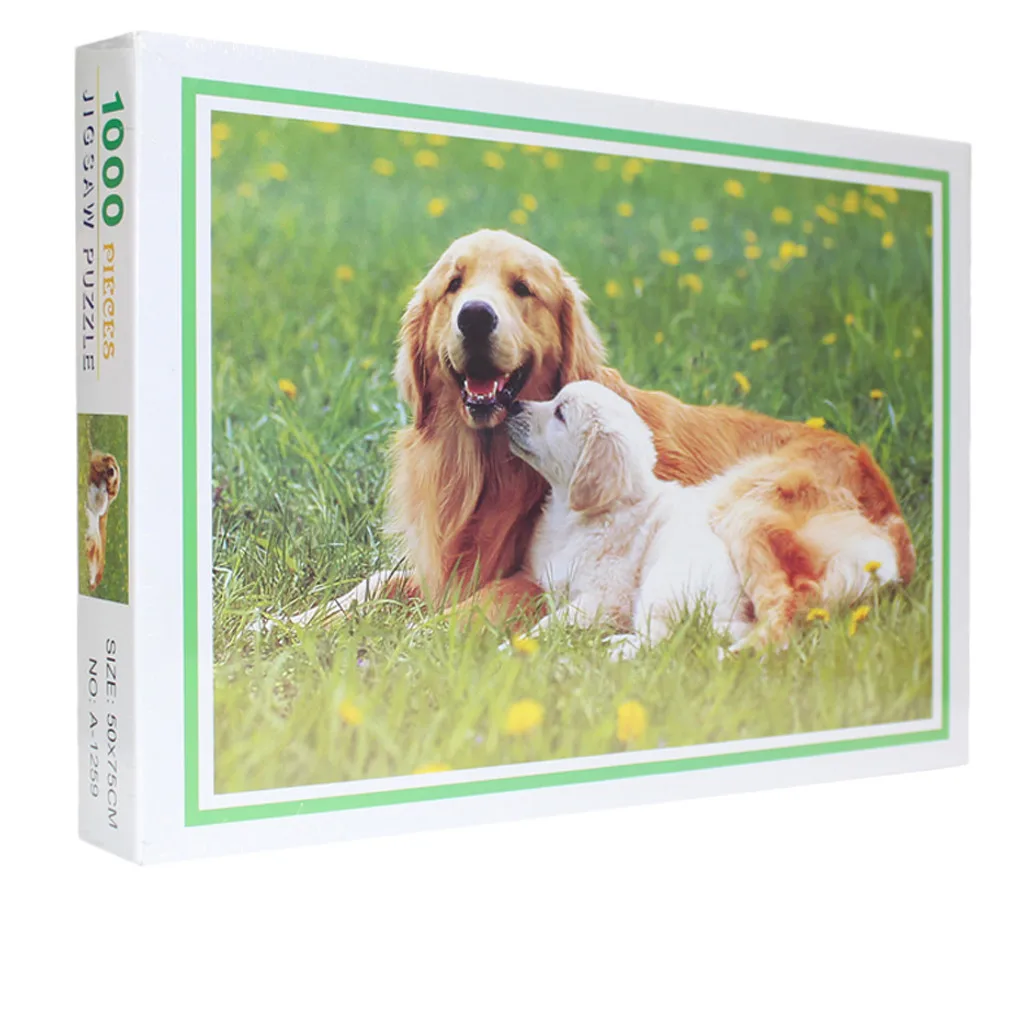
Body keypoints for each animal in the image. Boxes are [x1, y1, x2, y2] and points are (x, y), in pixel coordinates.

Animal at [507, 381, 902, 657]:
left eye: (560, 413)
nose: (512, 404)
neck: (578, 515)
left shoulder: (604, 597)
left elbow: (552, 622)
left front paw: (514, 647)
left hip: (669, 578)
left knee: (660, 639)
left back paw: (616, 650)